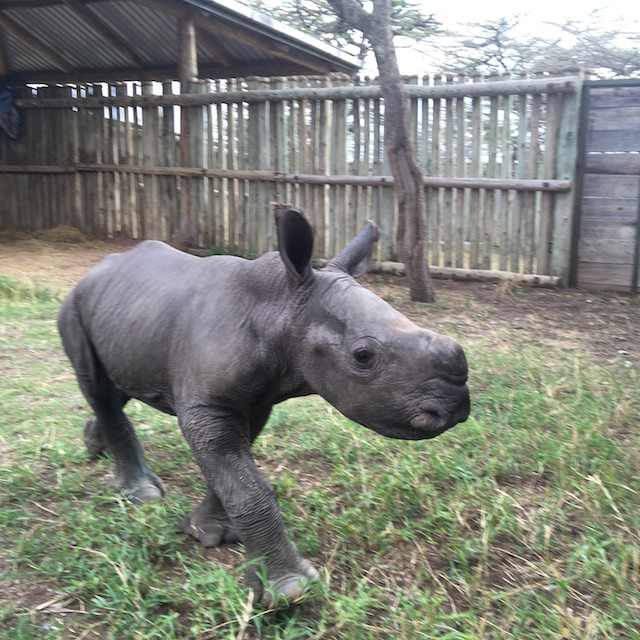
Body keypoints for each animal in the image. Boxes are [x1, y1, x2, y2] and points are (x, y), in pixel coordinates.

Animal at [57, 207, 470, 606]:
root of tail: (94, 270)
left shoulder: (255, 401)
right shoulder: (208, 408)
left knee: (117, 385)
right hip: (74, 304)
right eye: (363, 356)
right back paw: (140, 494)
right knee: (99, 388)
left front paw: (210, 532)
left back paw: (93, 446)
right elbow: (247, 487)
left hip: (128, 313)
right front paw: (288, 591)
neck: (282, 307)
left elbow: (231, 473)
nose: (453, 406)